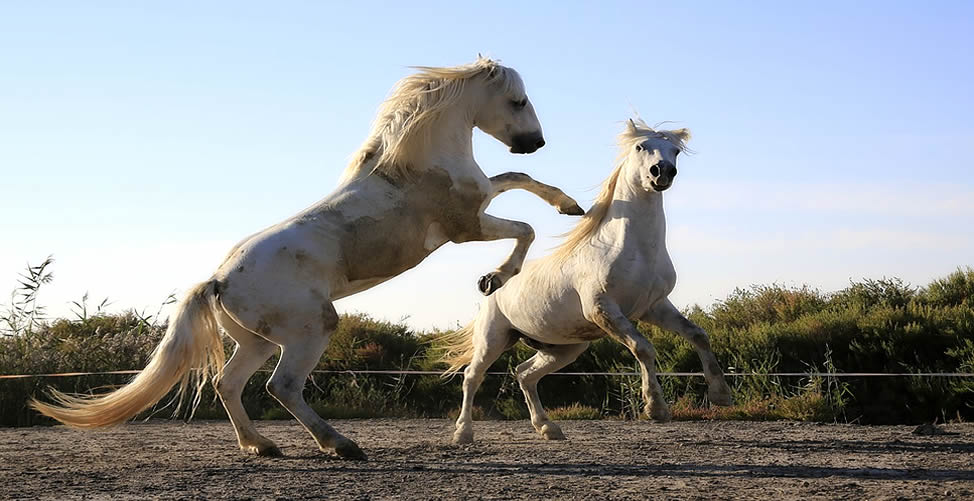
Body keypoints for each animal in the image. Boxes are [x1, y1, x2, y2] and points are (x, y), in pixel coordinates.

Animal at [30, 56, 584, 458]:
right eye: (517, 99)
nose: (535, 142)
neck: (414, 165)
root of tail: (218, 281)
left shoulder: (480, 201)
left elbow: (519, 182)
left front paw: (569, 205)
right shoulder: (465, 228)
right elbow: (524, 228)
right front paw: (496, 278)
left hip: (255, 341)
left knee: (230, 384)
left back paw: (262, 446)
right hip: (311, 327)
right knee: (283, 386)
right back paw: (340, 445)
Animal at [440, 119, 732, 444]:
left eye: (676, 152)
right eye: (640, 146)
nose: (662, 172)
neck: (634, 250)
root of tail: (491, 286)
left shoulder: (653, 307)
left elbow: (698, 335)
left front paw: (721, 395)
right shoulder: (603, 309)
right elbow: (643, 347)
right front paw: (655, 408)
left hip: (563, 348)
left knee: (525, 374)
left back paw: (548, 428)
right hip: (494, 338)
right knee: (472, 377)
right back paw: (463, 433)